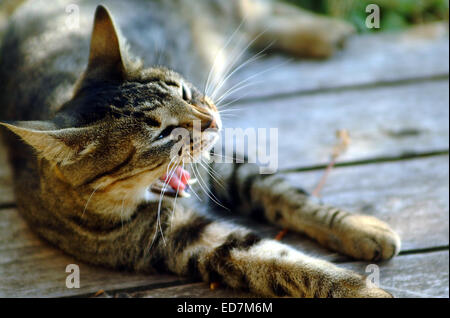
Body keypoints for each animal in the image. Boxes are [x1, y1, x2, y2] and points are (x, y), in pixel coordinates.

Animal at [0, 0, 400, 298]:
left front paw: (360, 227)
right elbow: (281, 261)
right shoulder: (190, 242)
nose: (212, 120)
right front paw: (364, 290)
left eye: (183, 92)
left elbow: (291, 198)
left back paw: (323, 31)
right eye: (163, 134)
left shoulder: (222, 164)